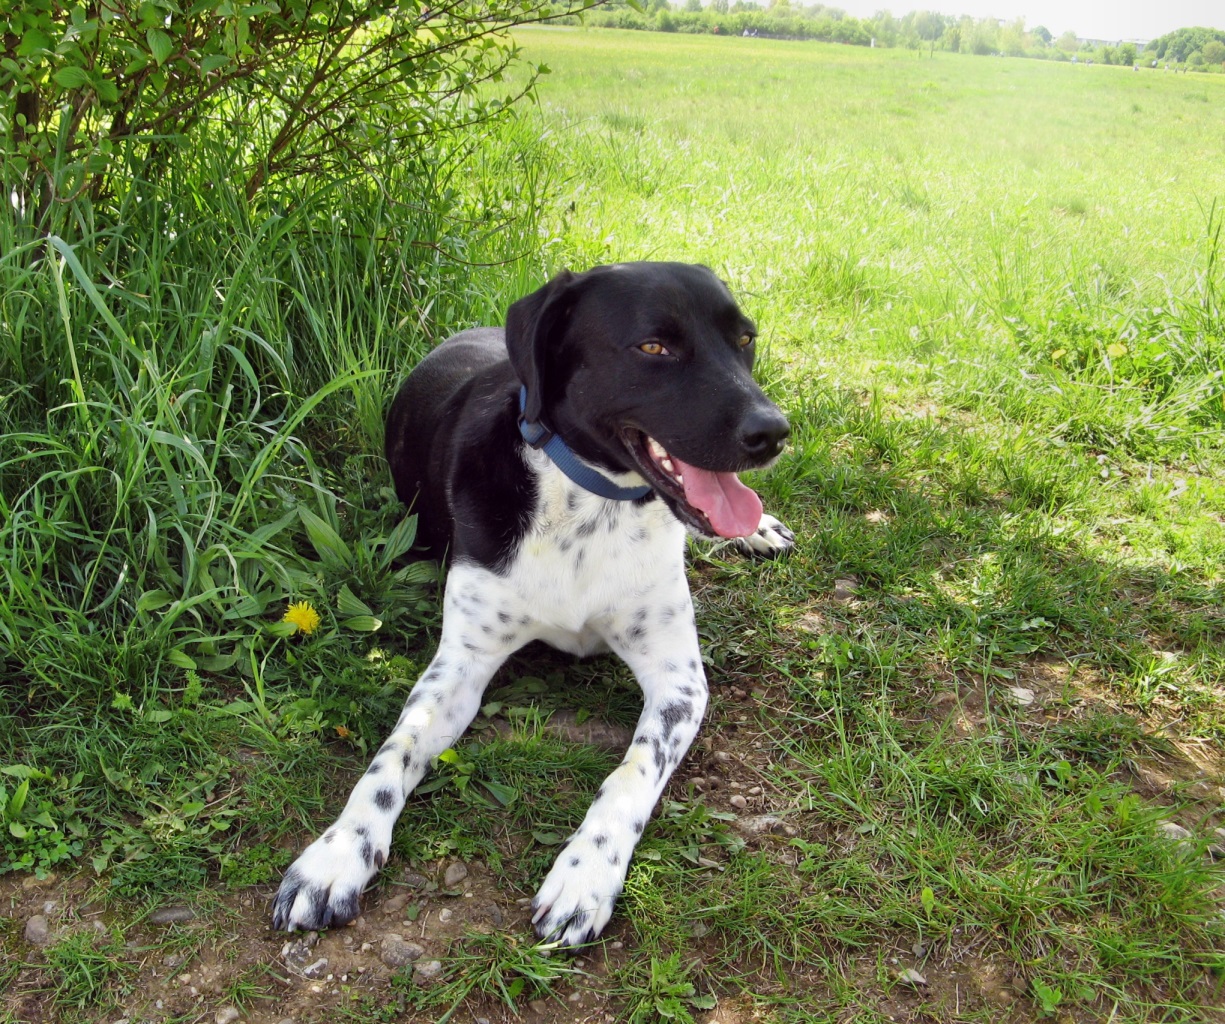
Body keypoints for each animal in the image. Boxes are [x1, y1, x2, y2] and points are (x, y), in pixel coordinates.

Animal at [270, 259, 793, 945]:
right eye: (654, 347)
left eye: (745, 339)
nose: (774, 432)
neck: (589, 505)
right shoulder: (458, 668)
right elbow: (392, 754)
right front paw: (334, 857)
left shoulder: (679, 680)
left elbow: (632, 771)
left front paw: (584, 876)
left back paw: (759, 530)